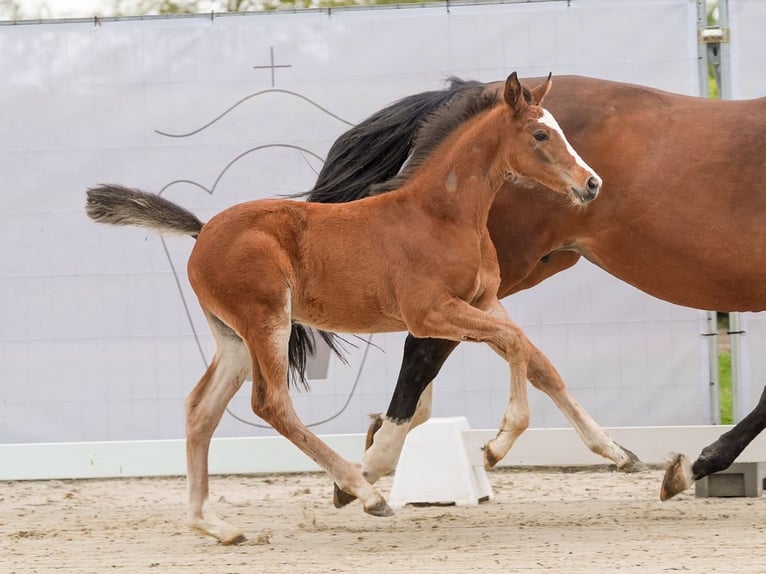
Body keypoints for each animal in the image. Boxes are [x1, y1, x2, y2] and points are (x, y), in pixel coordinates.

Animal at [85, 73, 608, 544]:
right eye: (540, 134)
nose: (592, 183)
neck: (441, 215)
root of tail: (203, 231)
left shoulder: (483, 301)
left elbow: (536, 358)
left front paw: (609, 447)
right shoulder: (429, 312)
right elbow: (515, 344)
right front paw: (496, 446)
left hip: (232, 338)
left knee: (201, 409)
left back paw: (213, 525)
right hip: (266, 321)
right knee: (270, 403)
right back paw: (364, 493)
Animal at [304, 73, 766, 504]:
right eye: (540, 135)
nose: (592, 183)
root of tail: (477, 90)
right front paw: (692, 467)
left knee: (490, 351)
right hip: (496, 271)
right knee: (427, 349)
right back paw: (372, 463)